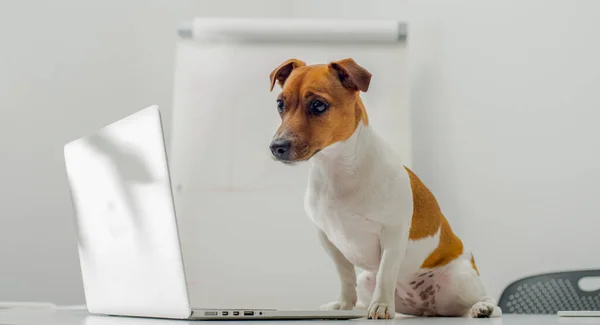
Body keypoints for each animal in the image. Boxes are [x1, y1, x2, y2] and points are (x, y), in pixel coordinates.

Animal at [268, 57, 502, 318]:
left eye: (318, 105)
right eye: (280, 105)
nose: (276, 147)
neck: (337, 169)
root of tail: (426, 307)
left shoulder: (393, 234)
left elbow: (386, 274)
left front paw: (380, 306)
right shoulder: (329, 241)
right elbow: (345, 276)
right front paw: (344, 304)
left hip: (460, 278)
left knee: (484, 304)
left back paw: (481, 308)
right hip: (367, 280)